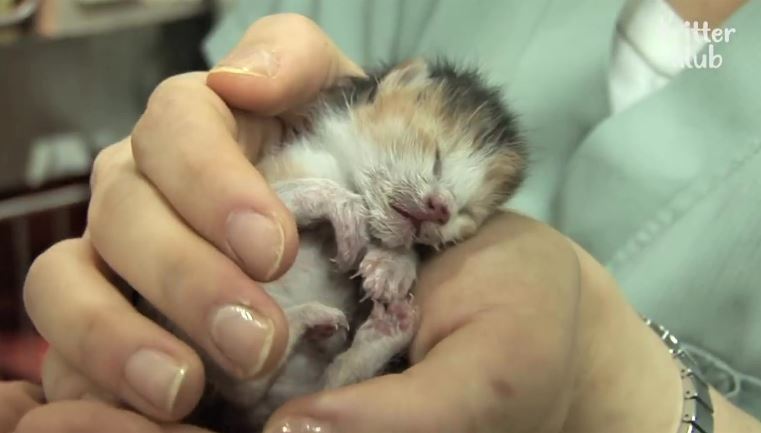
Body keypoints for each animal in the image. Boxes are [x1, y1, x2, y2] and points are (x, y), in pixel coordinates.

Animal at [187, 58, 527, 432]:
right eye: (438, 157)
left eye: (466, 213)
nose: (443, 209)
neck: (346, 174)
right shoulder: (266, 185)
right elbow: (288, 197)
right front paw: (343, 207)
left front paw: (393, 266)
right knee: (244, 380)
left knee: (300, 384)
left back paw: (381, 332)